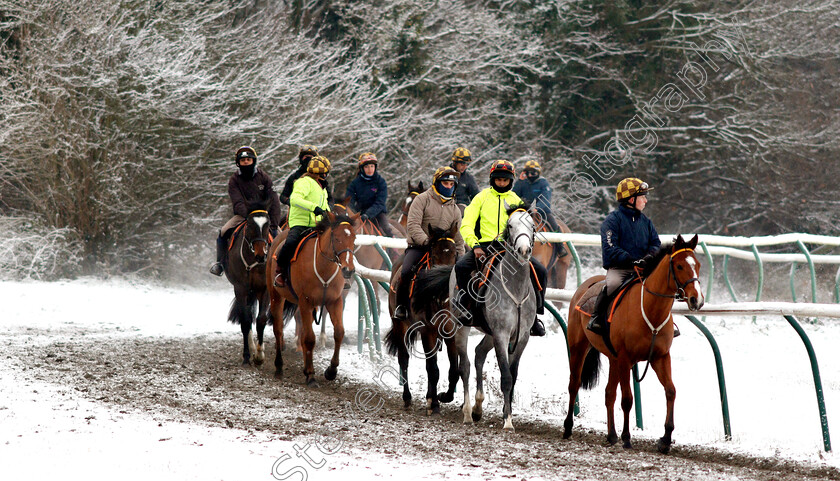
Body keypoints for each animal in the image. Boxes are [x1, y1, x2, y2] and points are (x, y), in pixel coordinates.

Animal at [223, 201, 272, 366]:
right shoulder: (241, 288)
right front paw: (247, 356)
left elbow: (261, 320)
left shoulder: (264, 288)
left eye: (268, 225)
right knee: (248, 317)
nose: (261, 255)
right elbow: (245, 321)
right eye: (250, 224)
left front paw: (260, 356)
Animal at [264, 211, 360, 386]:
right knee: (278, 330)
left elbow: (339, 333)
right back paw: (279, 367)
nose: (348, 270)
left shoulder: (334, 301)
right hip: (276, 296)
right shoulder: (306, 302)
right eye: (336, 238)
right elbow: (309, 338)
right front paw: (310, 375)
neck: (323, 268)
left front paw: (331, 371)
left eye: (354, 238)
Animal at [386, 223, 462, 414]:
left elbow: (454, 369)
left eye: (454, 254)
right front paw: (434, 403)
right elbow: (433, 369)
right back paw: (407, 398)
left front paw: (444, 396)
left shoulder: (451, 333)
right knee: (404, 359)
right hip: (400, 325)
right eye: (434, 254)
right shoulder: (428, 331)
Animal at [560, 234, 704, 452]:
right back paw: (568, 427)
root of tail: (585, 286)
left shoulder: (660, 357)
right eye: (679, 266)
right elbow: (627, 399)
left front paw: (665, 439)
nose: (697, 300)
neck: (650, 312)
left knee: (609, 393)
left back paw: (611, 435)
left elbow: (670, 391)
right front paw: (627, 437)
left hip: (612, 359)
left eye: (698, 265)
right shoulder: (626, 358)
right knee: (574, 384)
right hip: (578, 347)